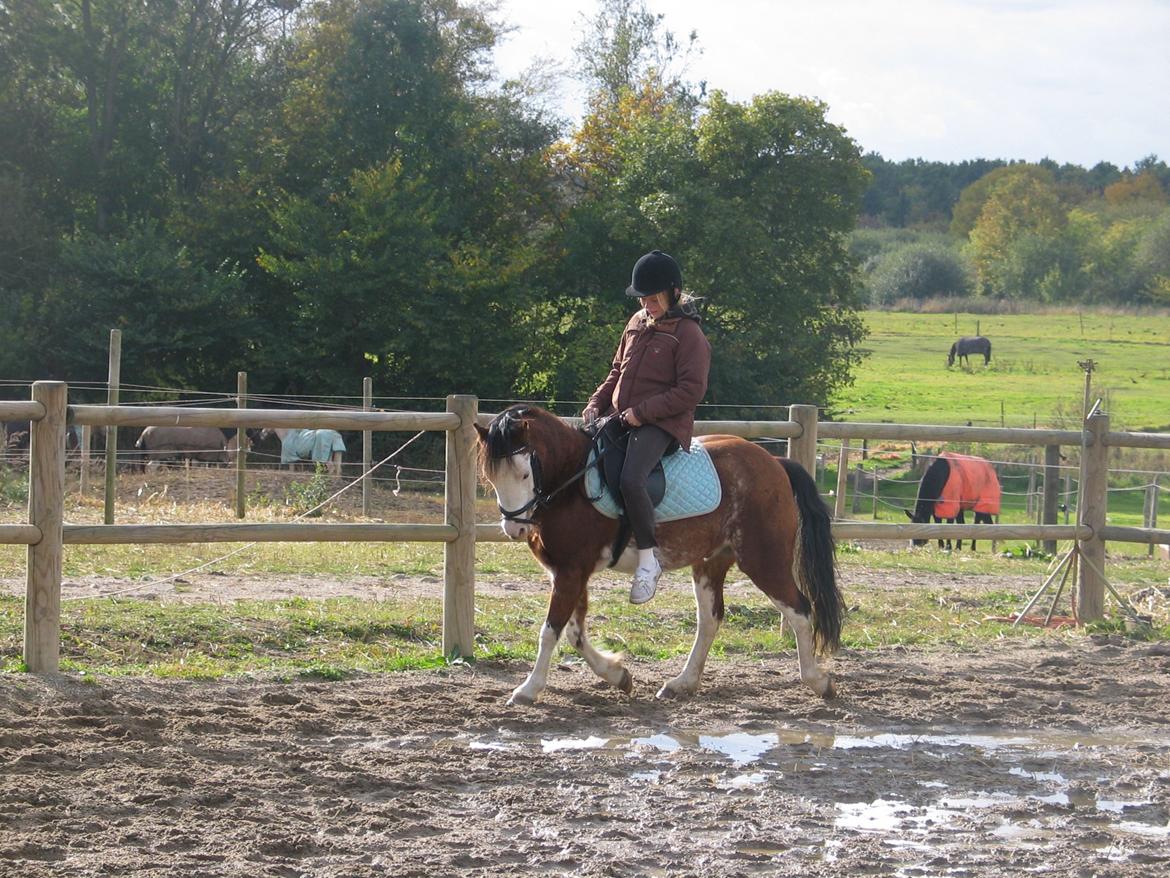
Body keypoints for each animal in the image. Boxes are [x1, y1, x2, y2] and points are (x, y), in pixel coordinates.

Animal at [476, 405, 844, 706]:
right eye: (492, 476)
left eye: (524, 473)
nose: (514, 528)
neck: (571, 484)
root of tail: (774, 463)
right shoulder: (572, 572)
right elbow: (574, 633)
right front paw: (618, 676)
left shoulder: (569, 572)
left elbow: (551, 631)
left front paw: (527, 690)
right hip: (711, 562)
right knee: (710, 619)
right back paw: (682, 684)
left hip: (763, 559)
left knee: (799, 610)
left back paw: (818, 681)